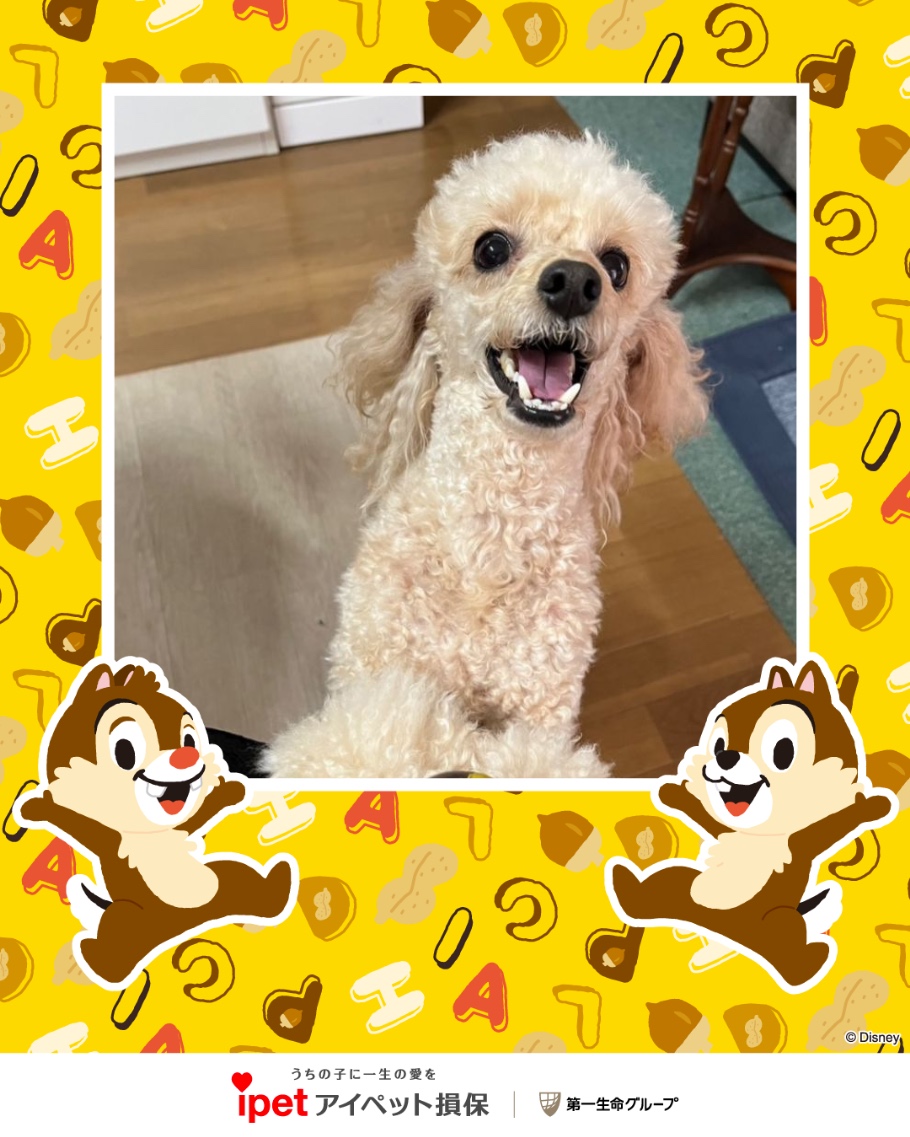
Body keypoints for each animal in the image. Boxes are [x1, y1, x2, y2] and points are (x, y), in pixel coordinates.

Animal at [263, 130, 708, 778]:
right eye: (491, 248)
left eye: (617, 265)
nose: (575, 282)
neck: (492, 537)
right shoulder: (373, 676)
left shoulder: (542, 705)